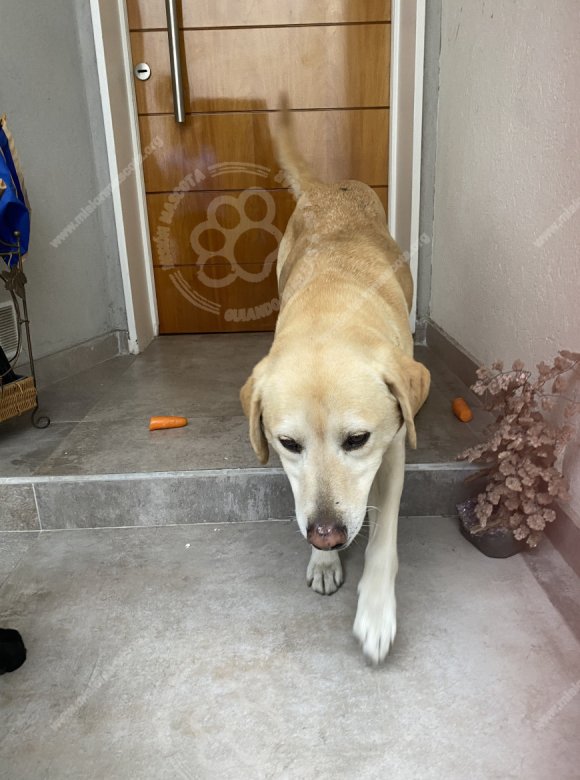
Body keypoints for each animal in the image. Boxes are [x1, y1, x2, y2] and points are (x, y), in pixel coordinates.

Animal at [240, 103, 430, 663]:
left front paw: (376, 610)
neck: (330, 308)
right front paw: (323, 563)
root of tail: (329, 186)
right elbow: (303, 496)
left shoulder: (393, 450)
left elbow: (385, 535)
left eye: (357, 439)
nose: (326, 537)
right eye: (287, 443)